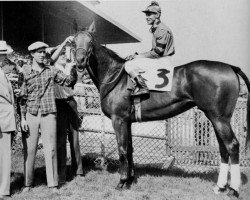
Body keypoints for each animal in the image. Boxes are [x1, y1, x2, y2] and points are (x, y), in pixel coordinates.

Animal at [73, 23, 250, 197]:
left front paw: (121, 182)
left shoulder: (119, 120)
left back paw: (234, 189)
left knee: (232, 145)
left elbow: (122, 150)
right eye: (74, 42)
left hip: (219, 118)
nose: (80, 61)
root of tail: (230, 67)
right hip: (216, 118)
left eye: (90, 41)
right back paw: (220, 187)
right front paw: (130, 179)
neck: (115, 76)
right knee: (223, 149)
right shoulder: (128, 121)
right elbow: (130, 150)